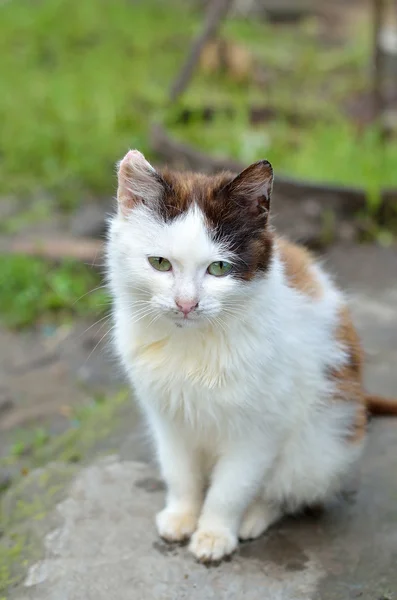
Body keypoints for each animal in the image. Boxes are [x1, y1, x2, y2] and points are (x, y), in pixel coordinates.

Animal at [106, 149, 396, 564]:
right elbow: (179, 472)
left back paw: (255, 516)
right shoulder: (167, 416)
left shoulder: (261, 428)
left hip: (323, 441)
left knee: (289, 488)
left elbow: (232, 487)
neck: (194, 345)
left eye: (219, 267)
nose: (186, 304)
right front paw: (182, 515)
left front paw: (214, 533)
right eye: (159, 263)